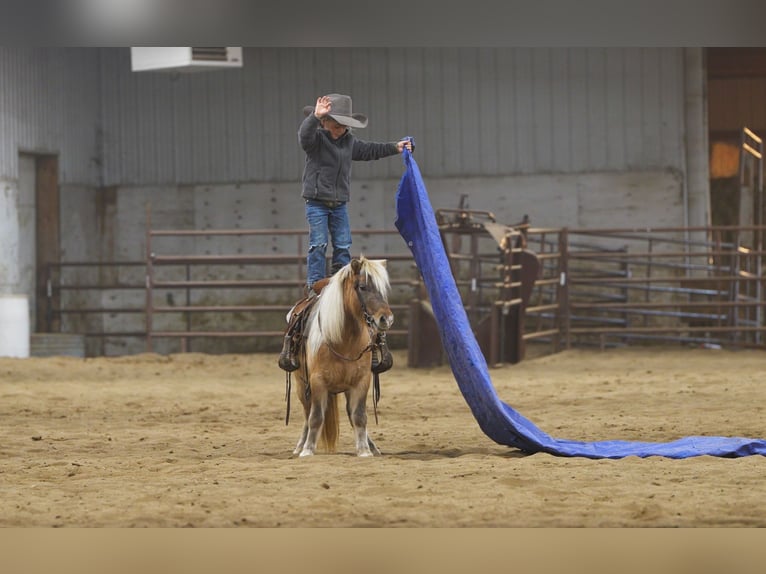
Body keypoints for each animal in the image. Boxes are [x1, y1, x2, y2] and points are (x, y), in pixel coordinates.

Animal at [292, 256, 392, 460]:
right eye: (362, 287)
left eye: (383, 288)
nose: (386, 319)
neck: (343, 340)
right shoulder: (317, 382)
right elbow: (315, 417)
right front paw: (307, 450)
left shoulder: (362, 381)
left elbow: (359, 416)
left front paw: (364, 450)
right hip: (300, 384)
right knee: (307, 413)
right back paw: (300, 446)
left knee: (350, 412)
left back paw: (373, 447)